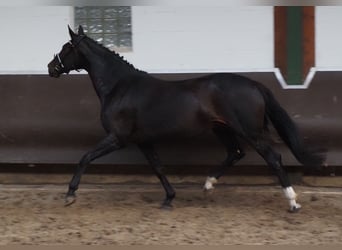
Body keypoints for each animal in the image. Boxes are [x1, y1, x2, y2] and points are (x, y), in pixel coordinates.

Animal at [48, 26, 326, 212]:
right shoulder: (143, 140)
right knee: (235, 153)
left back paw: (293, 202)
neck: (120, 87)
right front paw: (169, 199)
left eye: (66, 47)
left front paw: (70, 194)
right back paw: (208, 185)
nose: (51, 67)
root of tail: (254, 85)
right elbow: (158, 167)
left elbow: (85, 158)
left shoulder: (117, 138)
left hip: (250, 132)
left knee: (273, 158)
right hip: (222, 129)